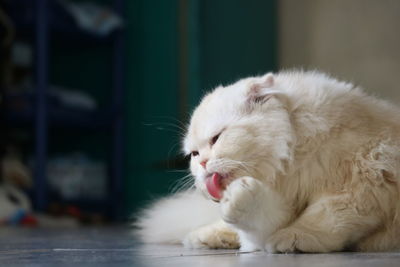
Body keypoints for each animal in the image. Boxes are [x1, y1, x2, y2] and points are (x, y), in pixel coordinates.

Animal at [134, 70, 400, 253]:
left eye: (216, 138)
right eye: (194, 154)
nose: (202, 165)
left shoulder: (363, 182)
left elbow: (323, 217)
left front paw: (295, 237)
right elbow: (262, 221)